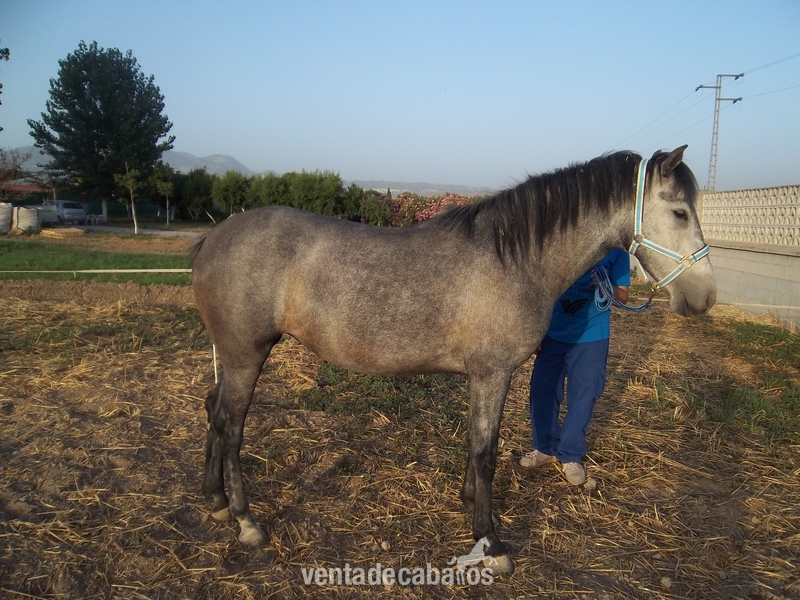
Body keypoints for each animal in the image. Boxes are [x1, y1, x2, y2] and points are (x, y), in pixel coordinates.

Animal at [190, 146, 716, 574]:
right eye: (679, 211)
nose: (706, 296)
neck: (515, 258)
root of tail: (213, 238)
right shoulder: (492, 373)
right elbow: (486, 453)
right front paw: (491, 542)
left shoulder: (482, 377)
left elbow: (474, 445)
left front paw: (471, 511)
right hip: (245, 356)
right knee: (231, 427)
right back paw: (246, 522)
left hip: (234, 359)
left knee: (214, 411)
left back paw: (214, 501)